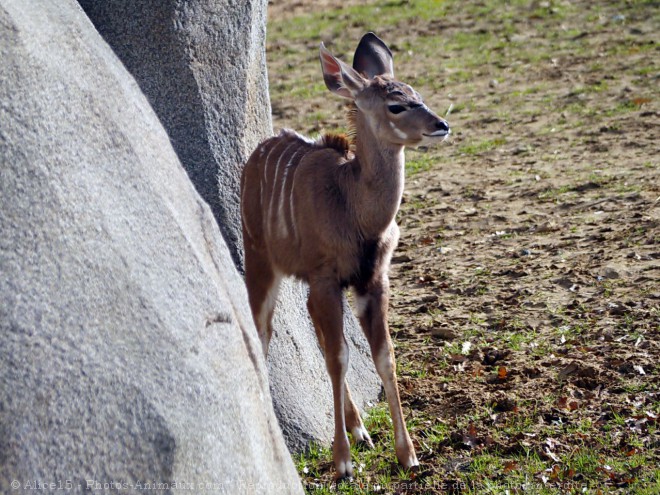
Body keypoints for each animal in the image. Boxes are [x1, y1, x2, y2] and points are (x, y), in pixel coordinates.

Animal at [240, 32, 452, 480]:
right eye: (396, 104)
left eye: (418, 94)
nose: (441, 125)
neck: (355, 207)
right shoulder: (326, 278)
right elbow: (339, 358)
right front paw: (342, 463)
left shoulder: (372, 280)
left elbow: (384, 357)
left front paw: (408, 454)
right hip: (262, 260)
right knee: (263, 330)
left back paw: (360, 429)